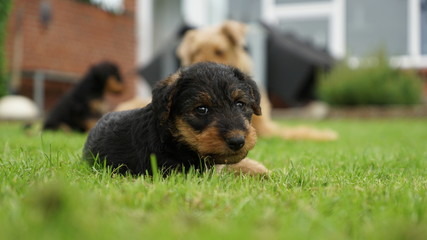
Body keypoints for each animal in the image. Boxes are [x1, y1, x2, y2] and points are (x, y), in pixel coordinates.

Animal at [83, 62, 270, 175]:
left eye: (240, 104)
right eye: (202, 109)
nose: (237, 141)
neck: (174, 139)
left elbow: (233, 164)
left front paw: (264, 172)